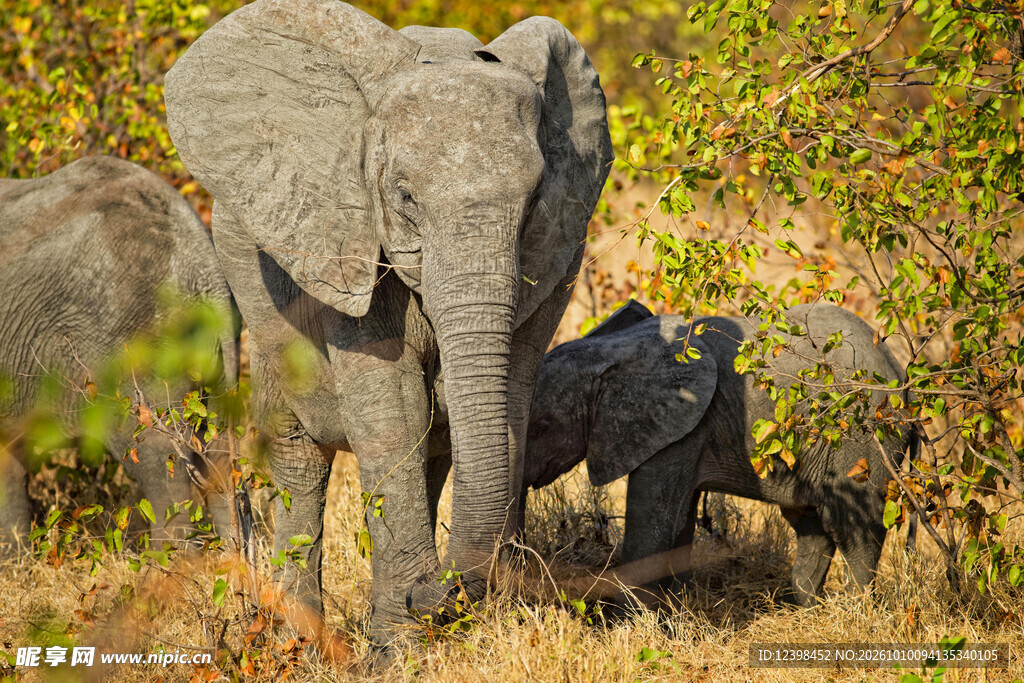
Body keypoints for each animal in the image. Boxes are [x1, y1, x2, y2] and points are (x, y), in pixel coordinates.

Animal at [162, 0, 612, 642]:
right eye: (403, 198)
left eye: (532, 203)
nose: (436, 590)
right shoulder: (343, 232)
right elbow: (393, 416)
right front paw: (402, 645)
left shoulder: (559, 255)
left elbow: (504, 408)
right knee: (300, 456)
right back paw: (300, 641)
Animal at [523, 300, 915, 606]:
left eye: (541, 425)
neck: (608, 350)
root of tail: (905, 378)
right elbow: (678, 520)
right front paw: (673, 608)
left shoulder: (681, 426)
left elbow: (652, 523)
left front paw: (626, 623)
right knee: (810, 524)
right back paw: (801, 606)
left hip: (863, 437)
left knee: (853, 527)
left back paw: (856, 610)